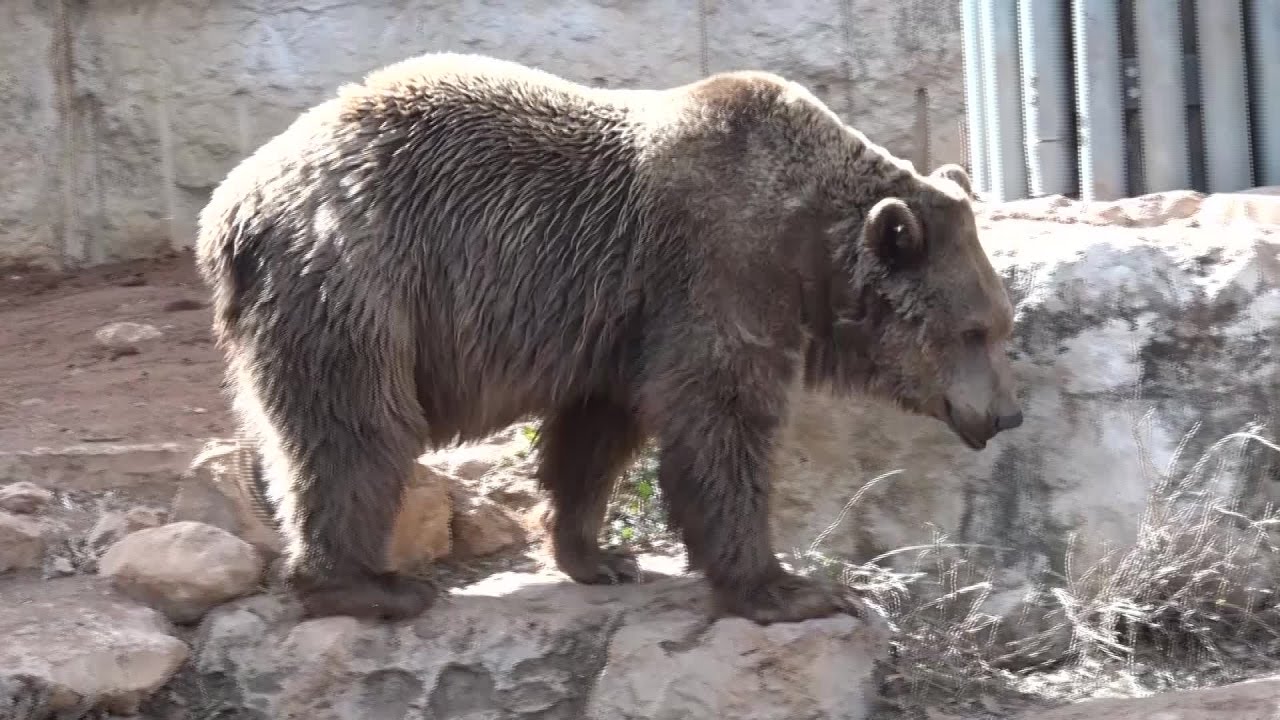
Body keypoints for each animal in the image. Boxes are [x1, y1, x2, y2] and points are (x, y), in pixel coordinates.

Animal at [195, 52, 1023, 626]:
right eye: (973, 329)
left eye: (1003, 323)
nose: (1008, 413)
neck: (809, 251)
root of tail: (232, 206)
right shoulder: (717, 271)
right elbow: (723, 424)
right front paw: (791, 588)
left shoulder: (622, 320)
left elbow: (596, 435)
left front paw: (599, 556)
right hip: (358, 279)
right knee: (356, 428)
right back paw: (369, 587)